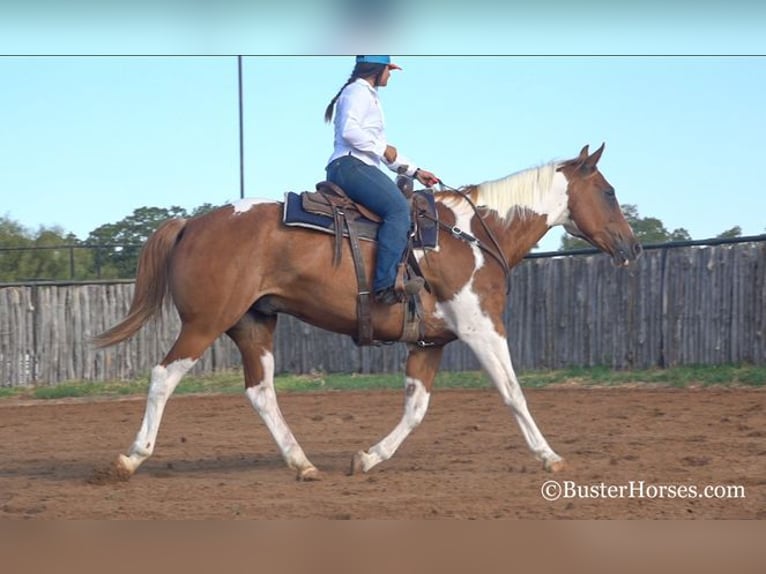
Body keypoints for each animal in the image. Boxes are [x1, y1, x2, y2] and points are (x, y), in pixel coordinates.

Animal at [94, 143, 640, 482]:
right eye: (609, 192)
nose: (632, 246)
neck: (474, 236)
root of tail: (191, 224)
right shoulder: (483, 328)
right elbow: (513, 392)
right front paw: (550, 457)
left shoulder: (430, 343)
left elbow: (416, 408)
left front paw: (369, 458)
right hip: (204, 323)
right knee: (163, 376)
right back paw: (129, 460)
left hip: (254, 324)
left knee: (261, 392)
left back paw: (302, 464)